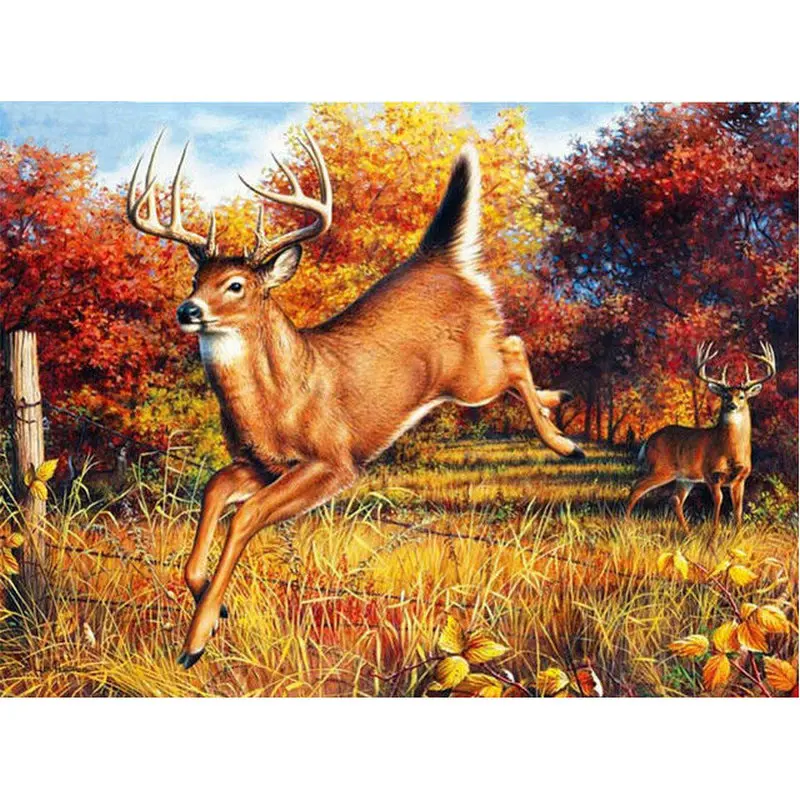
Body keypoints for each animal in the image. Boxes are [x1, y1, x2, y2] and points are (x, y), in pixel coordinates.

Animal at [126, 128, 584, 668]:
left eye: (235, 285)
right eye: (196, 280)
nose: (187, 310)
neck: (279, 400)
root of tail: (441, 259)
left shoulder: (334, 460)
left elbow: (246, 515)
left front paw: (195, 641)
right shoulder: (261, 463)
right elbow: (215, 489)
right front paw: (214, 610)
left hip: (471, 376)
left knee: (513, 349)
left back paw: (566, 444)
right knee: (515, 350)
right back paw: (559, 400)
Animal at [625, 340, 776, 536]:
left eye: (742, 396)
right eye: (725, 396)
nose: (732, 405)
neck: (731, 450)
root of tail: (648, 440)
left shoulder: (741, 478)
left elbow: (738, 508)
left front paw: (738, 535)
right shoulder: (711, 474)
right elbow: (718, 501)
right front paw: (714, 535)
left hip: (684, 478)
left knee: (674, 499)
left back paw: (688, 533)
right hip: (661, 467)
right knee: (637, 487)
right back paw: (624, 524)